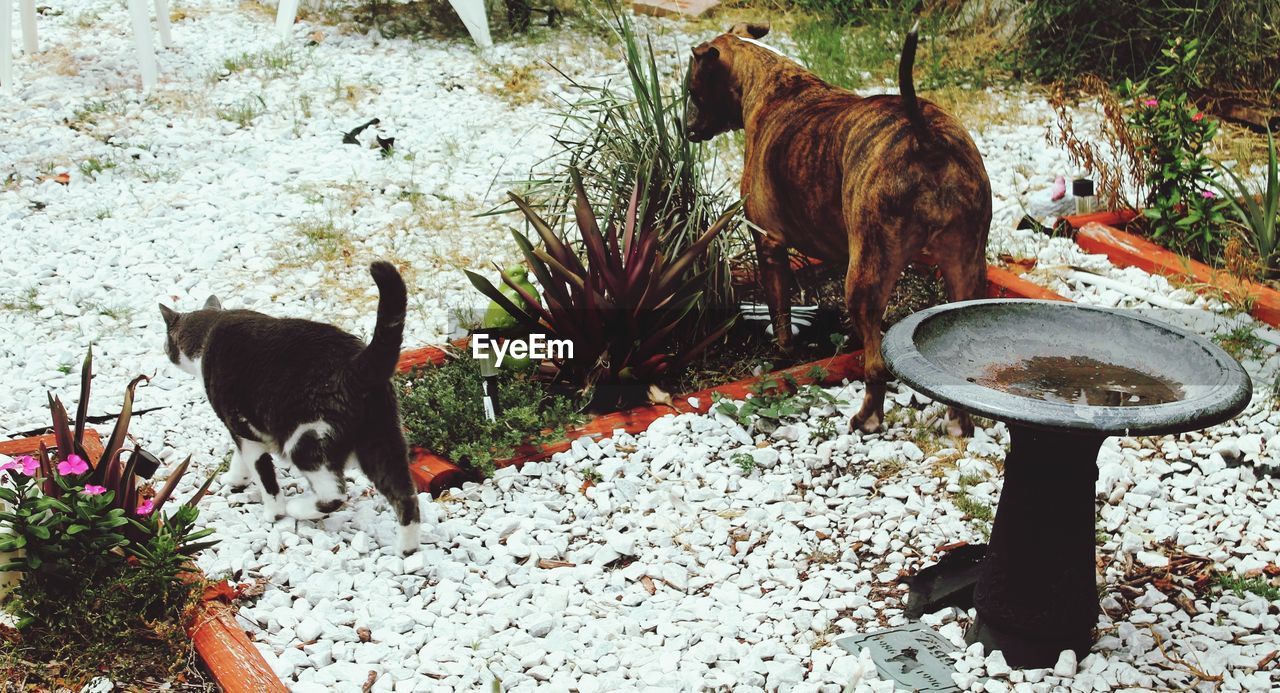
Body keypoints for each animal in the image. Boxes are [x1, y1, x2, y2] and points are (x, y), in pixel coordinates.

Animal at [159, 262, 419, 553]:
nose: (163, 349)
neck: (210, 329)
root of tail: (356, 364)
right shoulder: (244, 430)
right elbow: (240, 457)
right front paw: (236, 479)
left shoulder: (242, 427)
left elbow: (264, 476)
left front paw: (274, 512)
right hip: (382, 441)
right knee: (406, 496)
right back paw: (406, 550)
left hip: (306, 440)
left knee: (335, 494)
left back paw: (298, 508)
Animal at [691, 20, 988, 432]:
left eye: (692, 90)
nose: (687, 128)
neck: (773, 84)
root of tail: (923, 134)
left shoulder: (769, 245)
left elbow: (780, 314)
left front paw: (783, 354)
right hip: (965, 267)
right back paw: (958, 421)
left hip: (865, 278)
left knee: (876, 366)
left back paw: (867, 419)